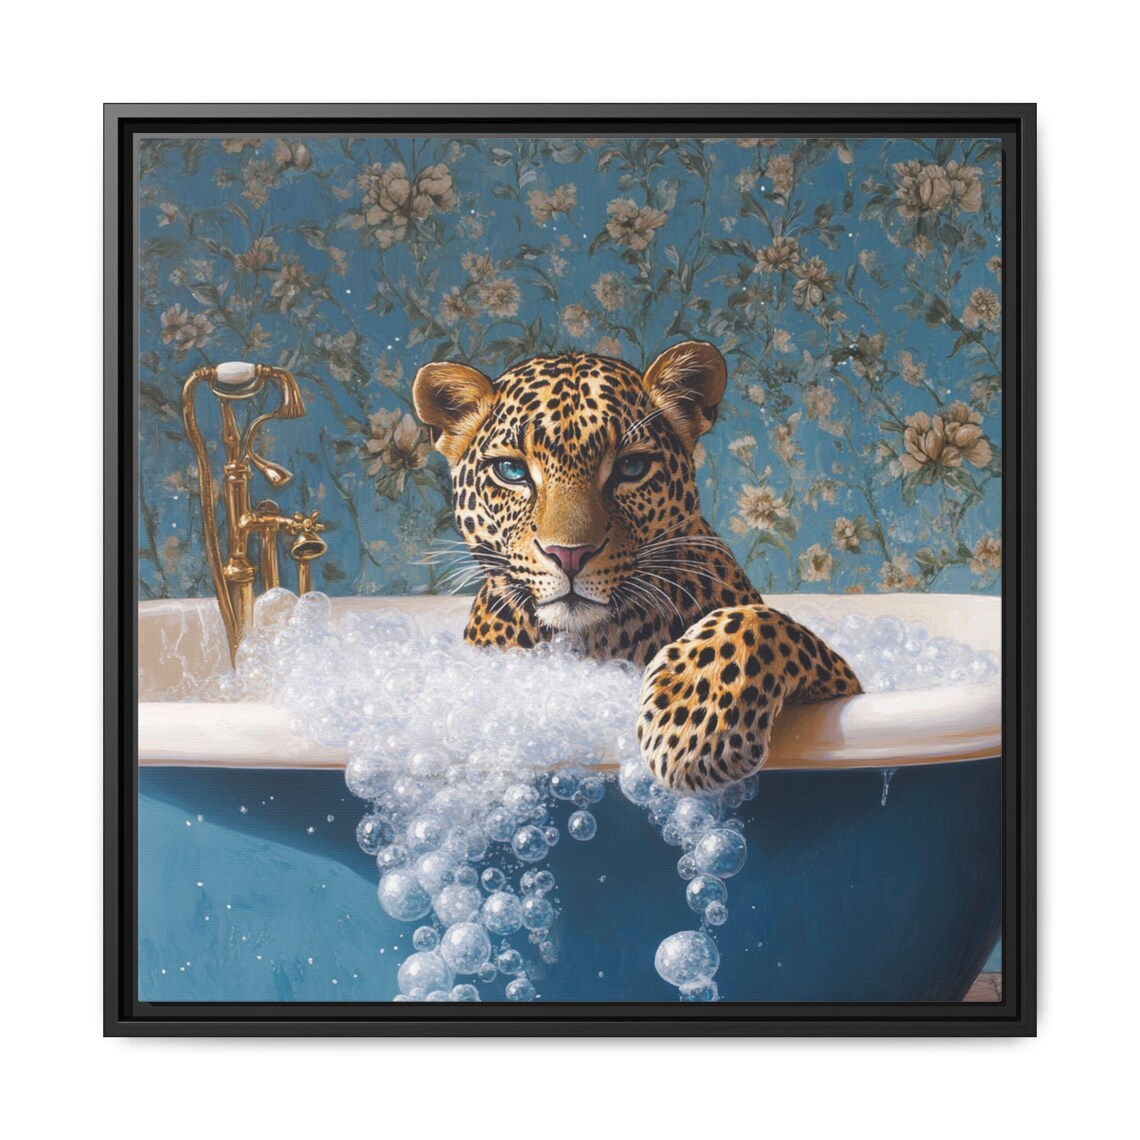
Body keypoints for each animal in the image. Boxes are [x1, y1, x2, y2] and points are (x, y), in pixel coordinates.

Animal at [412, 341, 861, 794]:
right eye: (512, 470)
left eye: (631, 468)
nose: (569, 555)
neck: (592, 643)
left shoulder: (843, 680)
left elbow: (758, 620)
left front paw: (692, 728)